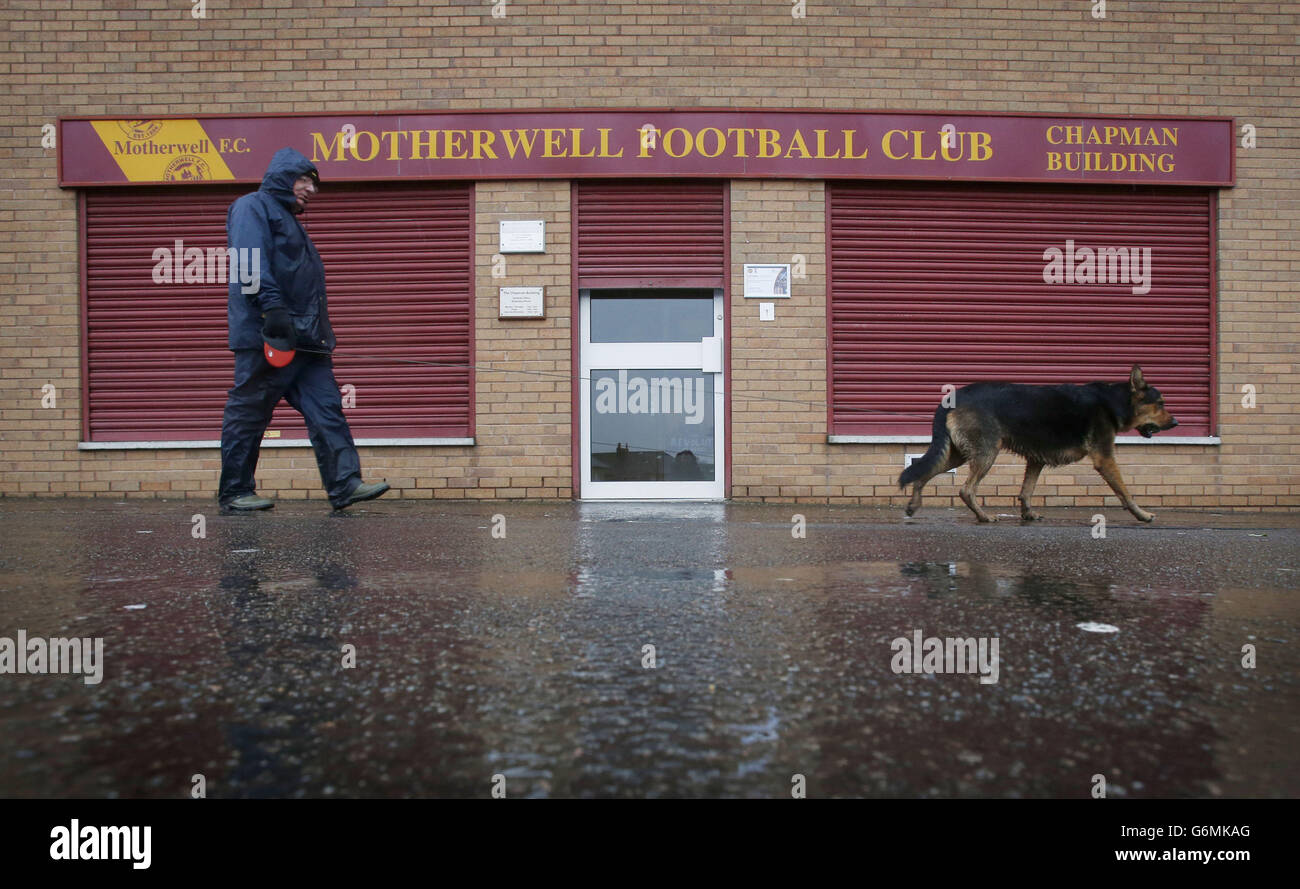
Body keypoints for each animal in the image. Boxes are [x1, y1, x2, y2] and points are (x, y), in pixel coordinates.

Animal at [899, 366, 1185, 519]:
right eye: (1161, 403)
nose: (1176, 423)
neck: (1115, 401)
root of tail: (952, 398)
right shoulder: (1105, 458)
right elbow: (1125, 491)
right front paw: (1142, 515)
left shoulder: (1036, 459)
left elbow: (1027, 490)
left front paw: (1028, 514)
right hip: (986, 453)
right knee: (966, 490)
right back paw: (983, 517)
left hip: (958, 453)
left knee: (924, 471)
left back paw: (914, 504)